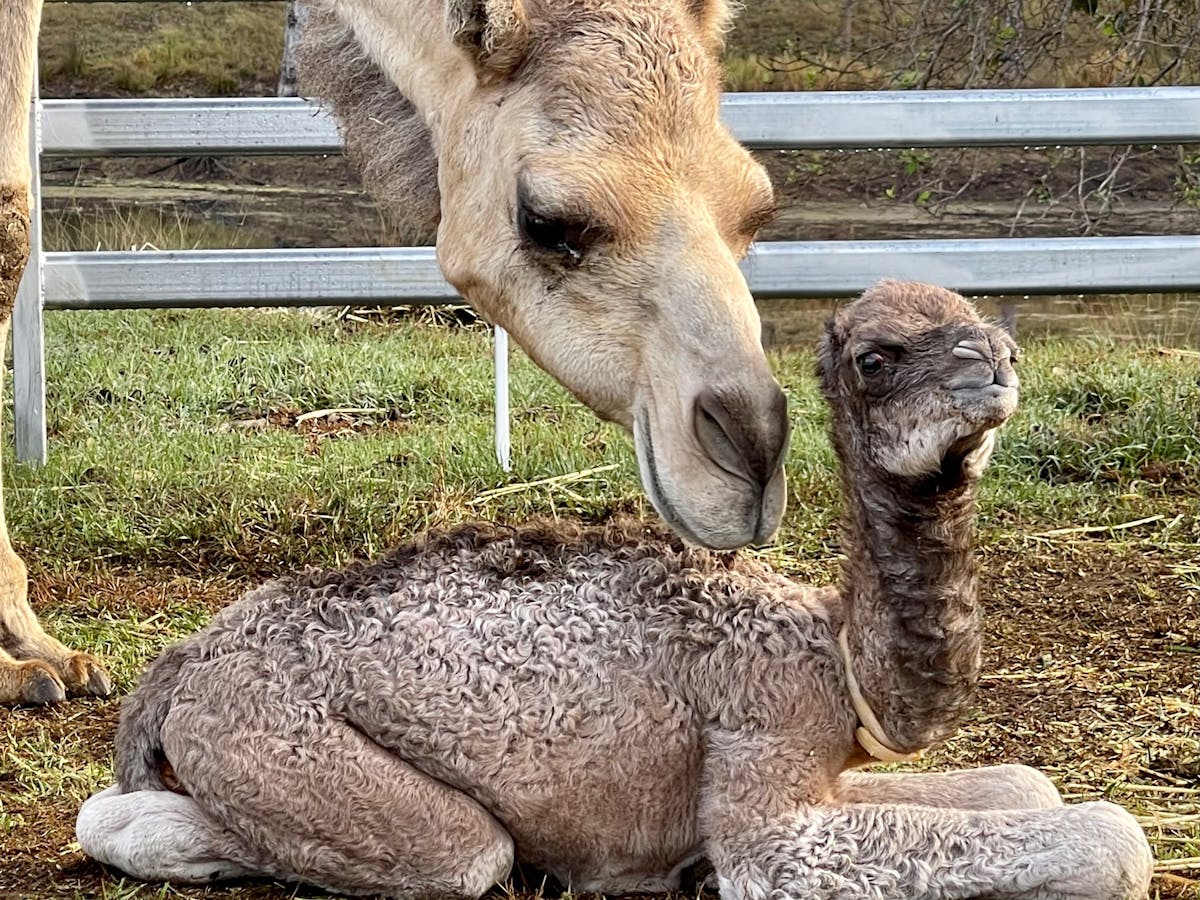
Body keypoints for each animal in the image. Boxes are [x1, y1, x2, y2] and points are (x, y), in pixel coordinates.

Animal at [76, 281, 1153, 899]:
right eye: (876, 358)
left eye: (987, 324)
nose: (997, 366)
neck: (832, 659)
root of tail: (185, 664)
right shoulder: (763, 779)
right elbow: (1115, 837)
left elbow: (1027, 781)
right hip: (275, 743)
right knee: (455, 856)